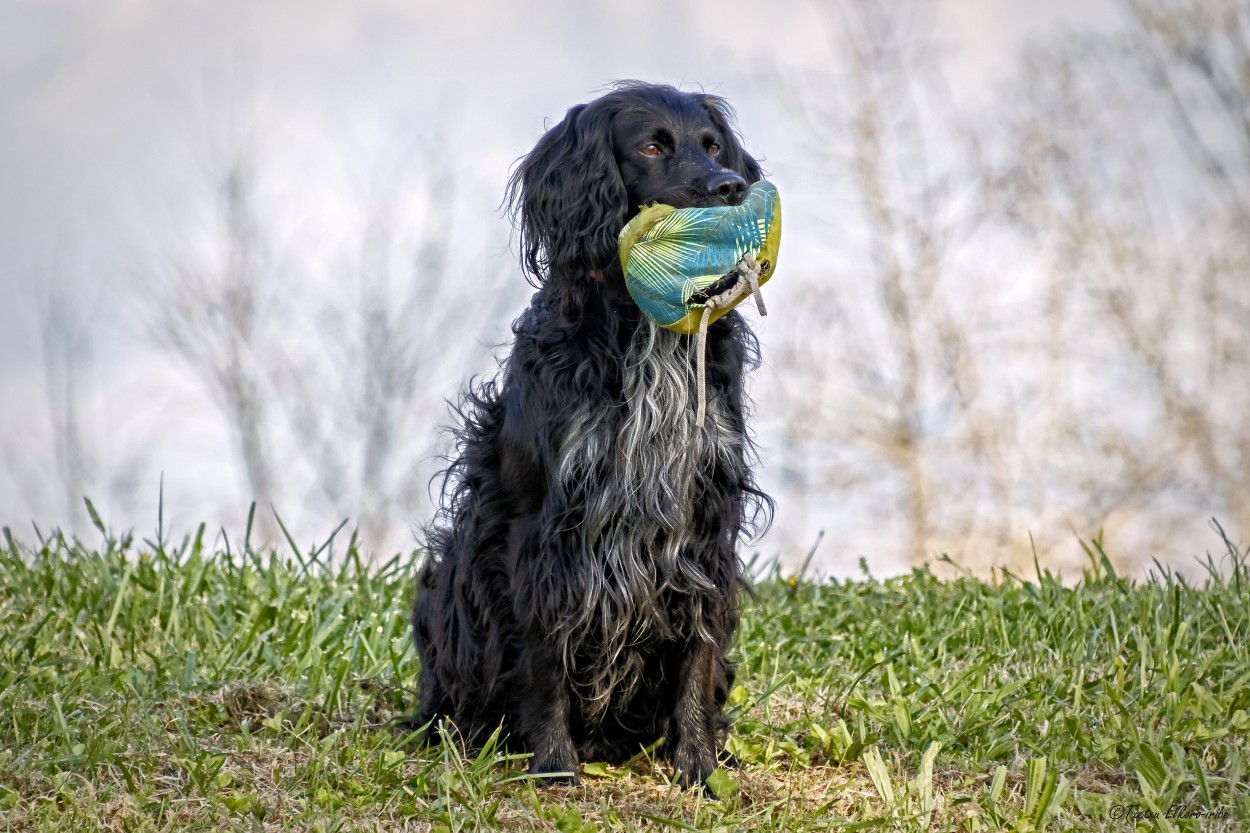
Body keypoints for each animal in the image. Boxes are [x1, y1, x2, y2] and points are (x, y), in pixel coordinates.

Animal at [410, 81, 770, 790]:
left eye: (714, 146)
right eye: (652, 147)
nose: (731, 187)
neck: (646, 330)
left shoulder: (705, 519)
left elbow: (698, 652)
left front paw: (698, 766)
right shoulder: (539, 528)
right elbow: (544, 655)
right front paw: (553, 767)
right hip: (453, 592)